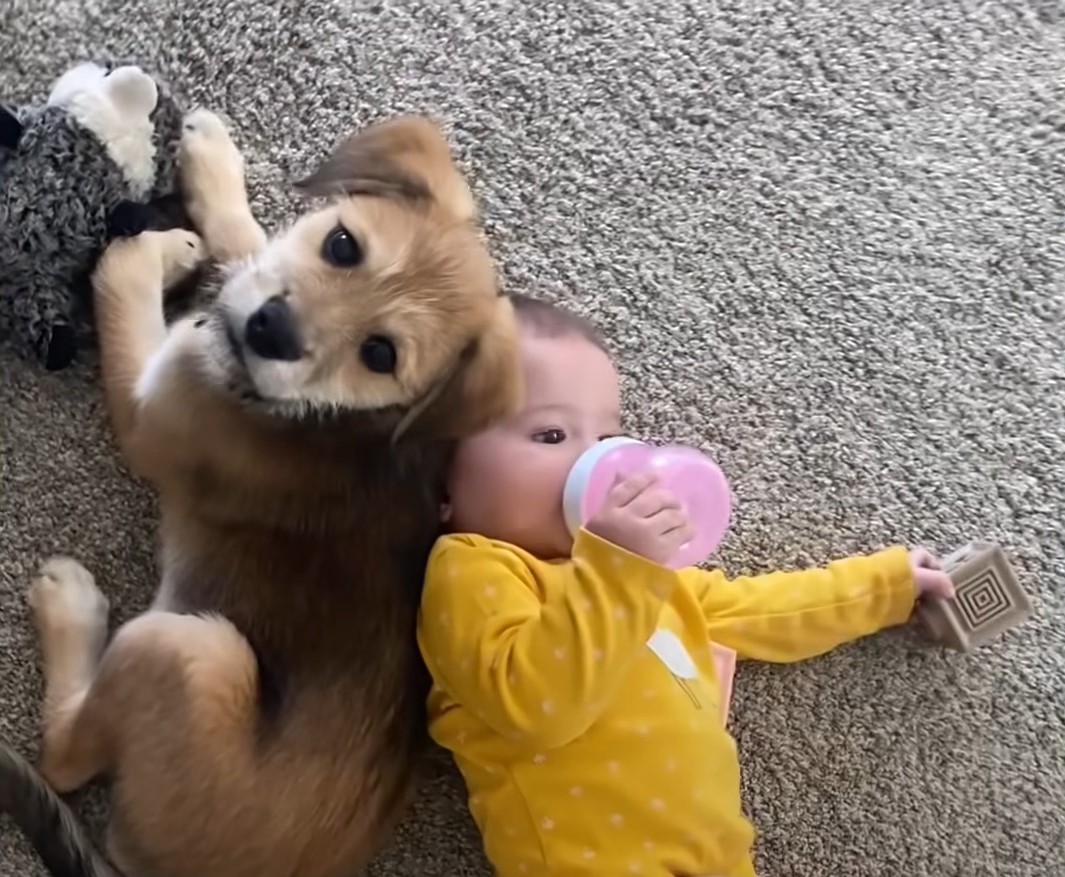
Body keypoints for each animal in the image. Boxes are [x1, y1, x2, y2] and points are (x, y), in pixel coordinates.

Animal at [0, 109, 523, 877]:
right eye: (342, 245)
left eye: (380, 354)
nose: (267, 329)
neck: (330, 414)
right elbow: (246, 245)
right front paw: (211, 174)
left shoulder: (148, 412)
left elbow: (124, 295)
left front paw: (145, 251)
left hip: (191, 652)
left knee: (64, 761)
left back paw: (70, 607)